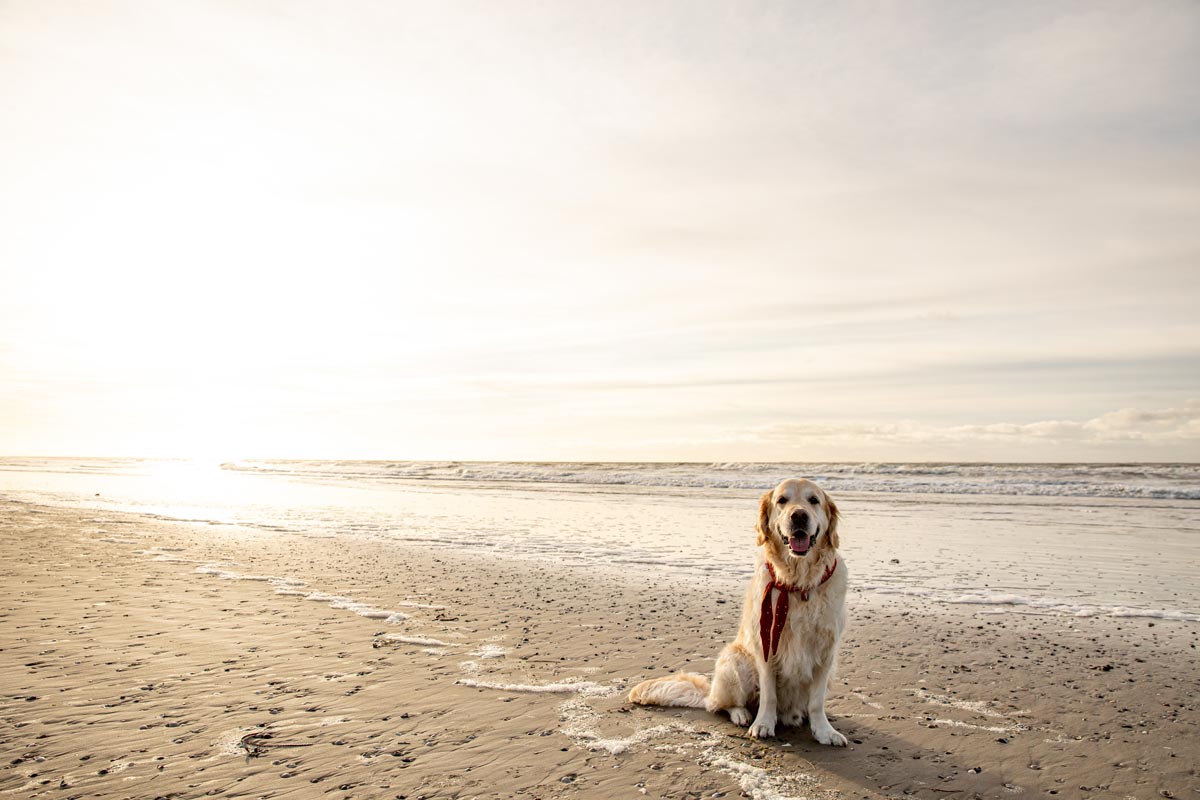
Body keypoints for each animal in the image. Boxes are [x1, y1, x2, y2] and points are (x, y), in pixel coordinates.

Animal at [624, 474, 849, 743]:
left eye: (813, 500)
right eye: (782, 500)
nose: (799, 516)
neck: (797, 583)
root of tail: (711, 691)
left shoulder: (826, 652)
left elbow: (816, 702)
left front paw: (825, 731)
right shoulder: (766, 644)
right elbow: (769, 695)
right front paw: (763, 724)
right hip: (736, 661)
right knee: (720, 705)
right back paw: (741, 714)